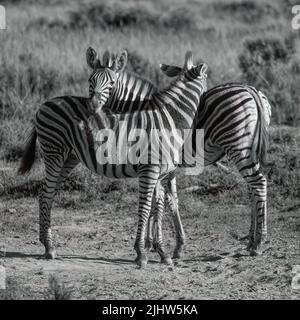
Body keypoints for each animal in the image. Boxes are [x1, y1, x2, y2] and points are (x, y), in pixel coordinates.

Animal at [18, 50, 206, 266]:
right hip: (54, 152)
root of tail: (45, 103)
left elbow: (159, 208)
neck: (170, 118)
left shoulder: (162, 173)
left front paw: (161, 251)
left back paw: (47, 243)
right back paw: (49, 247)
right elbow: (146, 207)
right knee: (46, 193)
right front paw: (142, 252)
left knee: (46, 194)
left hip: (69, 158)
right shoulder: (150, 170)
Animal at [97, 49, 270, 255]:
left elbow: (158, 201)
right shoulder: (164, 167)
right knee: (253, 188)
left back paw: (259, 242)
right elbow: (168, 201)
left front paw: (151, 243)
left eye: (110, 84)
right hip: (248, 148)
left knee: (258, 183)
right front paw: (165, 243)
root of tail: (250, 89)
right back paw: (252, 240)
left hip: (238, 145)